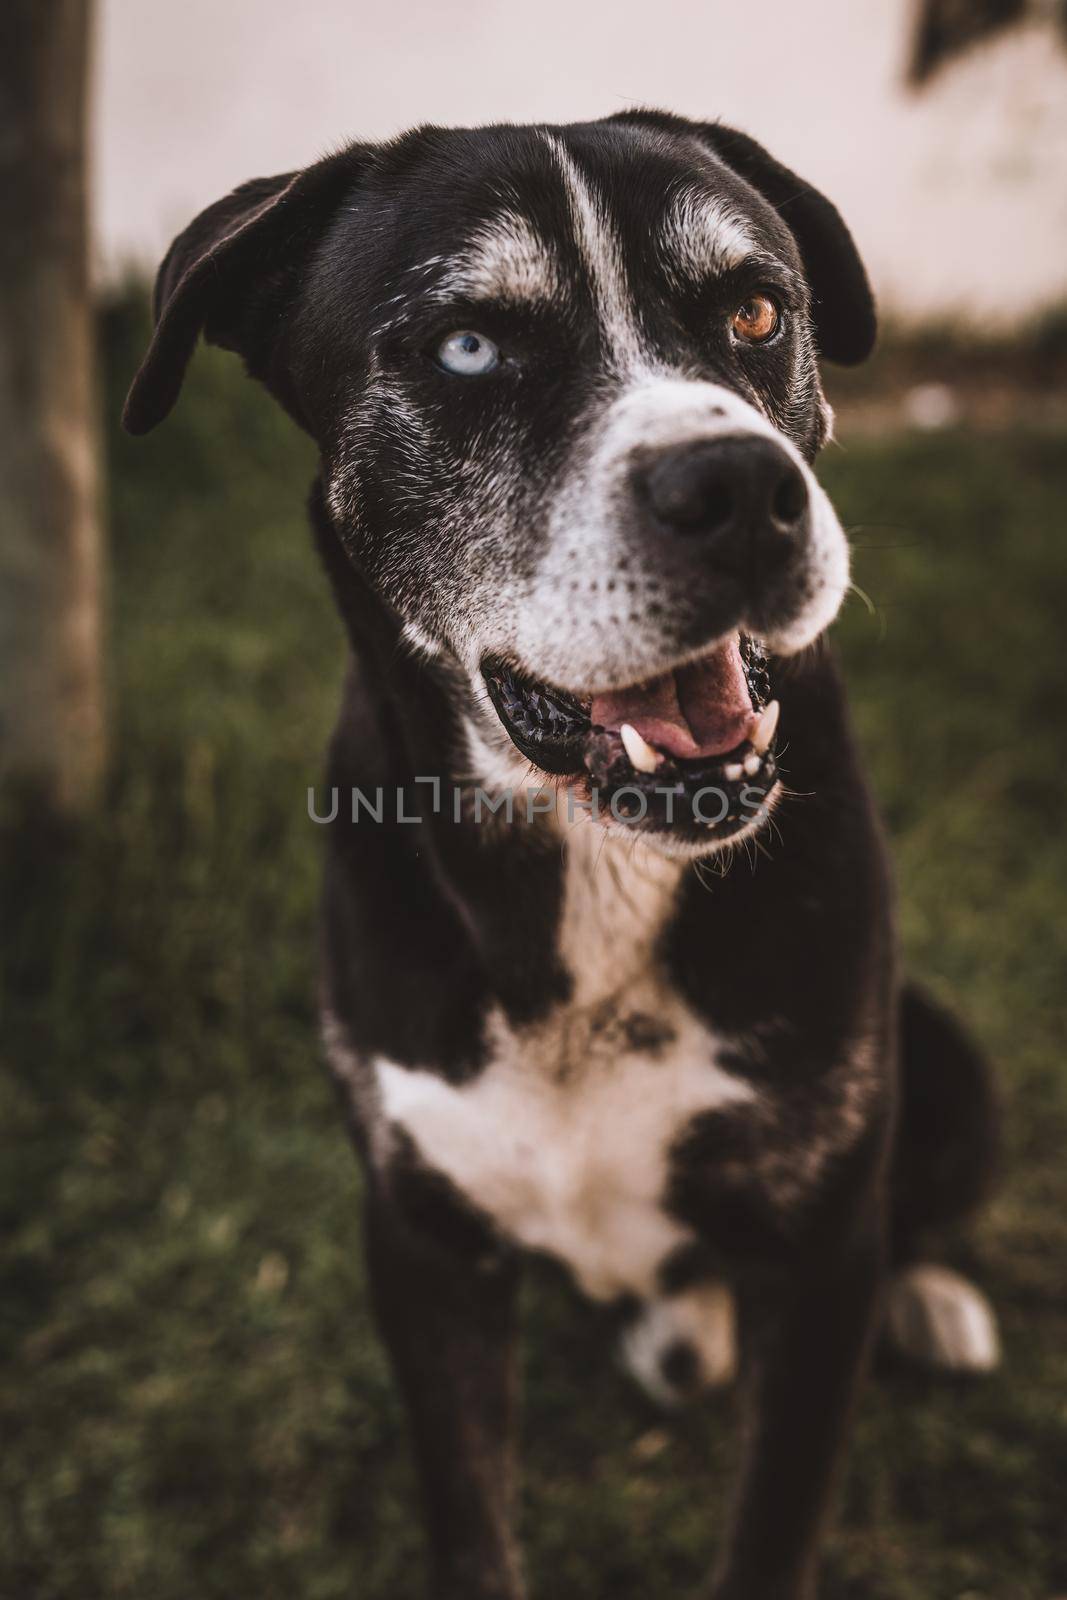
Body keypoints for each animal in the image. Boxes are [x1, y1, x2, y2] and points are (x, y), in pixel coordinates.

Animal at [125, 106, 1004, 1593]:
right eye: (469, 345)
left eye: (755, 309)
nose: (743, 489)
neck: (595, 867)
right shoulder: (420, 1246)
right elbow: (472, 1519)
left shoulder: (818, 1258)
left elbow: (773, 1525)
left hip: (940, 1050)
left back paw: (931, 1300)